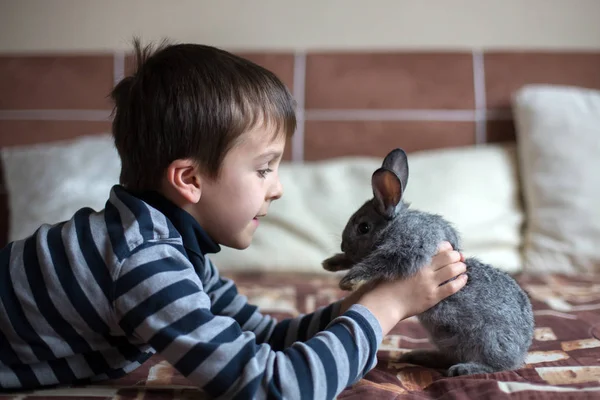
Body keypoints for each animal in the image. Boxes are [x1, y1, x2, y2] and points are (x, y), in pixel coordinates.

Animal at [324, 148, 536, 376]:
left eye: (363, 227)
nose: (343, 246)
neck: (394, 224)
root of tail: (522, 350)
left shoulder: (409, 244)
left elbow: (379, 261)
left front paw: (349, 280)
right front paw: (331, 263)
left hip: (487, 340)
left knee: (499, 366)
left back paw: (462, 369)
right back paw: (418, 356)